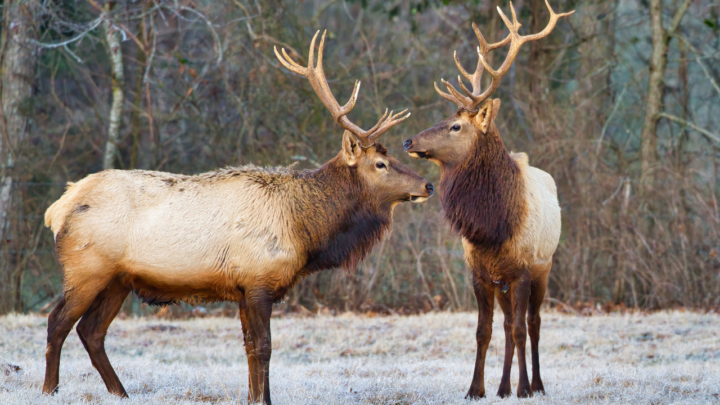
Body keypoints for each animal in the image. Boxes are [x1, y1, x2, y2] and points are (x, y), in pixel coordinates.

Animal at [42, 30, 434, 402]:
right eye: (380, 163)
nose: (428, 185)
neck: (306, 232)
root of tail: (57, 208)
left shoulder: (244, 288)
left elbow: (248, 349)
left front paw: (256, 397)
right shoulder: (259, 281)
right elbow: (264, 348)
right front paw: (262, 399)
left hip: (117, 280)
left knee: (92, 331)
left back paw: (122, 393)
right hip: (86, 268)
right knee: (57, 322)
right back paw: (50, 390)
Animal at [402, 0, 572, 398]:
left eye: (456, 126)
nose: (408, 141)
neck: (493, 225)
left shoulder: (523, 269)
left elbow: (522, 329)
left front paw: (525, 388)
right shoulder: (480, 273)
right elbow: (484, 331)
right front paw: (475, 389)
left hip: (545, 266)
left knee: (533, 323)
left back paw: (536, 384)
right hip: (503, 283)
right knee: (509, 324)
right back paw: (503, 387)